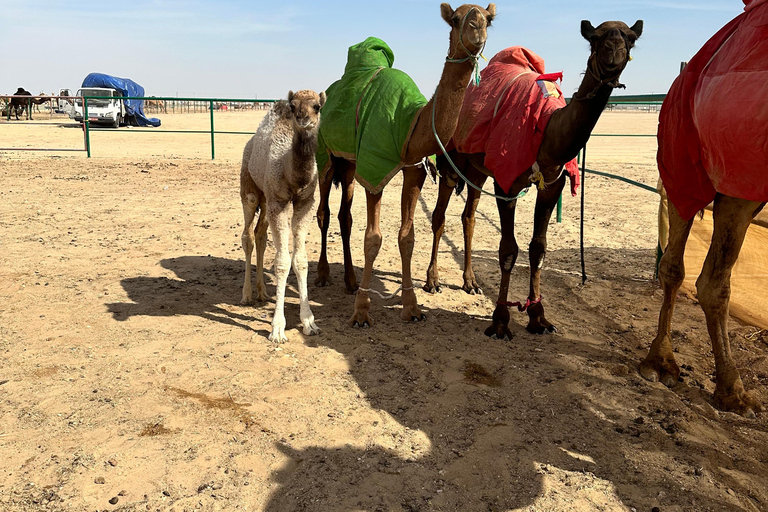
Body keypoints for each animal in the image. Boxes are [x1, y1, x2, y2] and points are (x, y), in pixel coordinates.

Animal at [238, 90, 326, 342]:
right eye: (293, 105)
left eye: (317, 106)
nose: (303, 118)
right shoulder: (279, 202)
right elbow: (282, 262)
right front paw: (277, 329)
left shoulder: (305, 203)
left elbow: (301, 260)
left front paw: (309, 322)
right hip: (250, 187)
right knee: (247, 236)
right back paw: (247, 295)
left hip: (266, 200)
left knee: (260, 235)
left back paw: (263, 293)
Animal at [314, 1, 498, 328]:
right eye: (455, 19)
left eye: (489, 19)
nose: (476, 27)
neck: (410, 124)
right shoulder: (374, 167)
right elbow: (373, 239)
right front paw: (361, 313)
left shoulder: (414, 169)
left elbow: (407, 237)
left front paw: (412, 307)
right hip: (327, 155)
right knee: (323, 211)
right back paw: (323, 275)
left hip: (349, 164)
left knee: (345, 216)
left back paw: (350, 281)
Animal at [420, 21, 640, 340]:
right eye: (596, 39)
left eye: (631, 39)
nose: (614, 51)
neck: (546, 128)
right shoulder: (507, 182)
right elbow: (508, 250)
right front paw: (500, 321)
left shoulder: (553, 184)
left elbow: (538, 248)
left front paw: (538, 316)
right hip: (450, 159)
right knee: (439, 215)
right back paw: (433, 280)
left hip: (477, 170)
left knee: (469, 216)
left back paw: (471, 281)